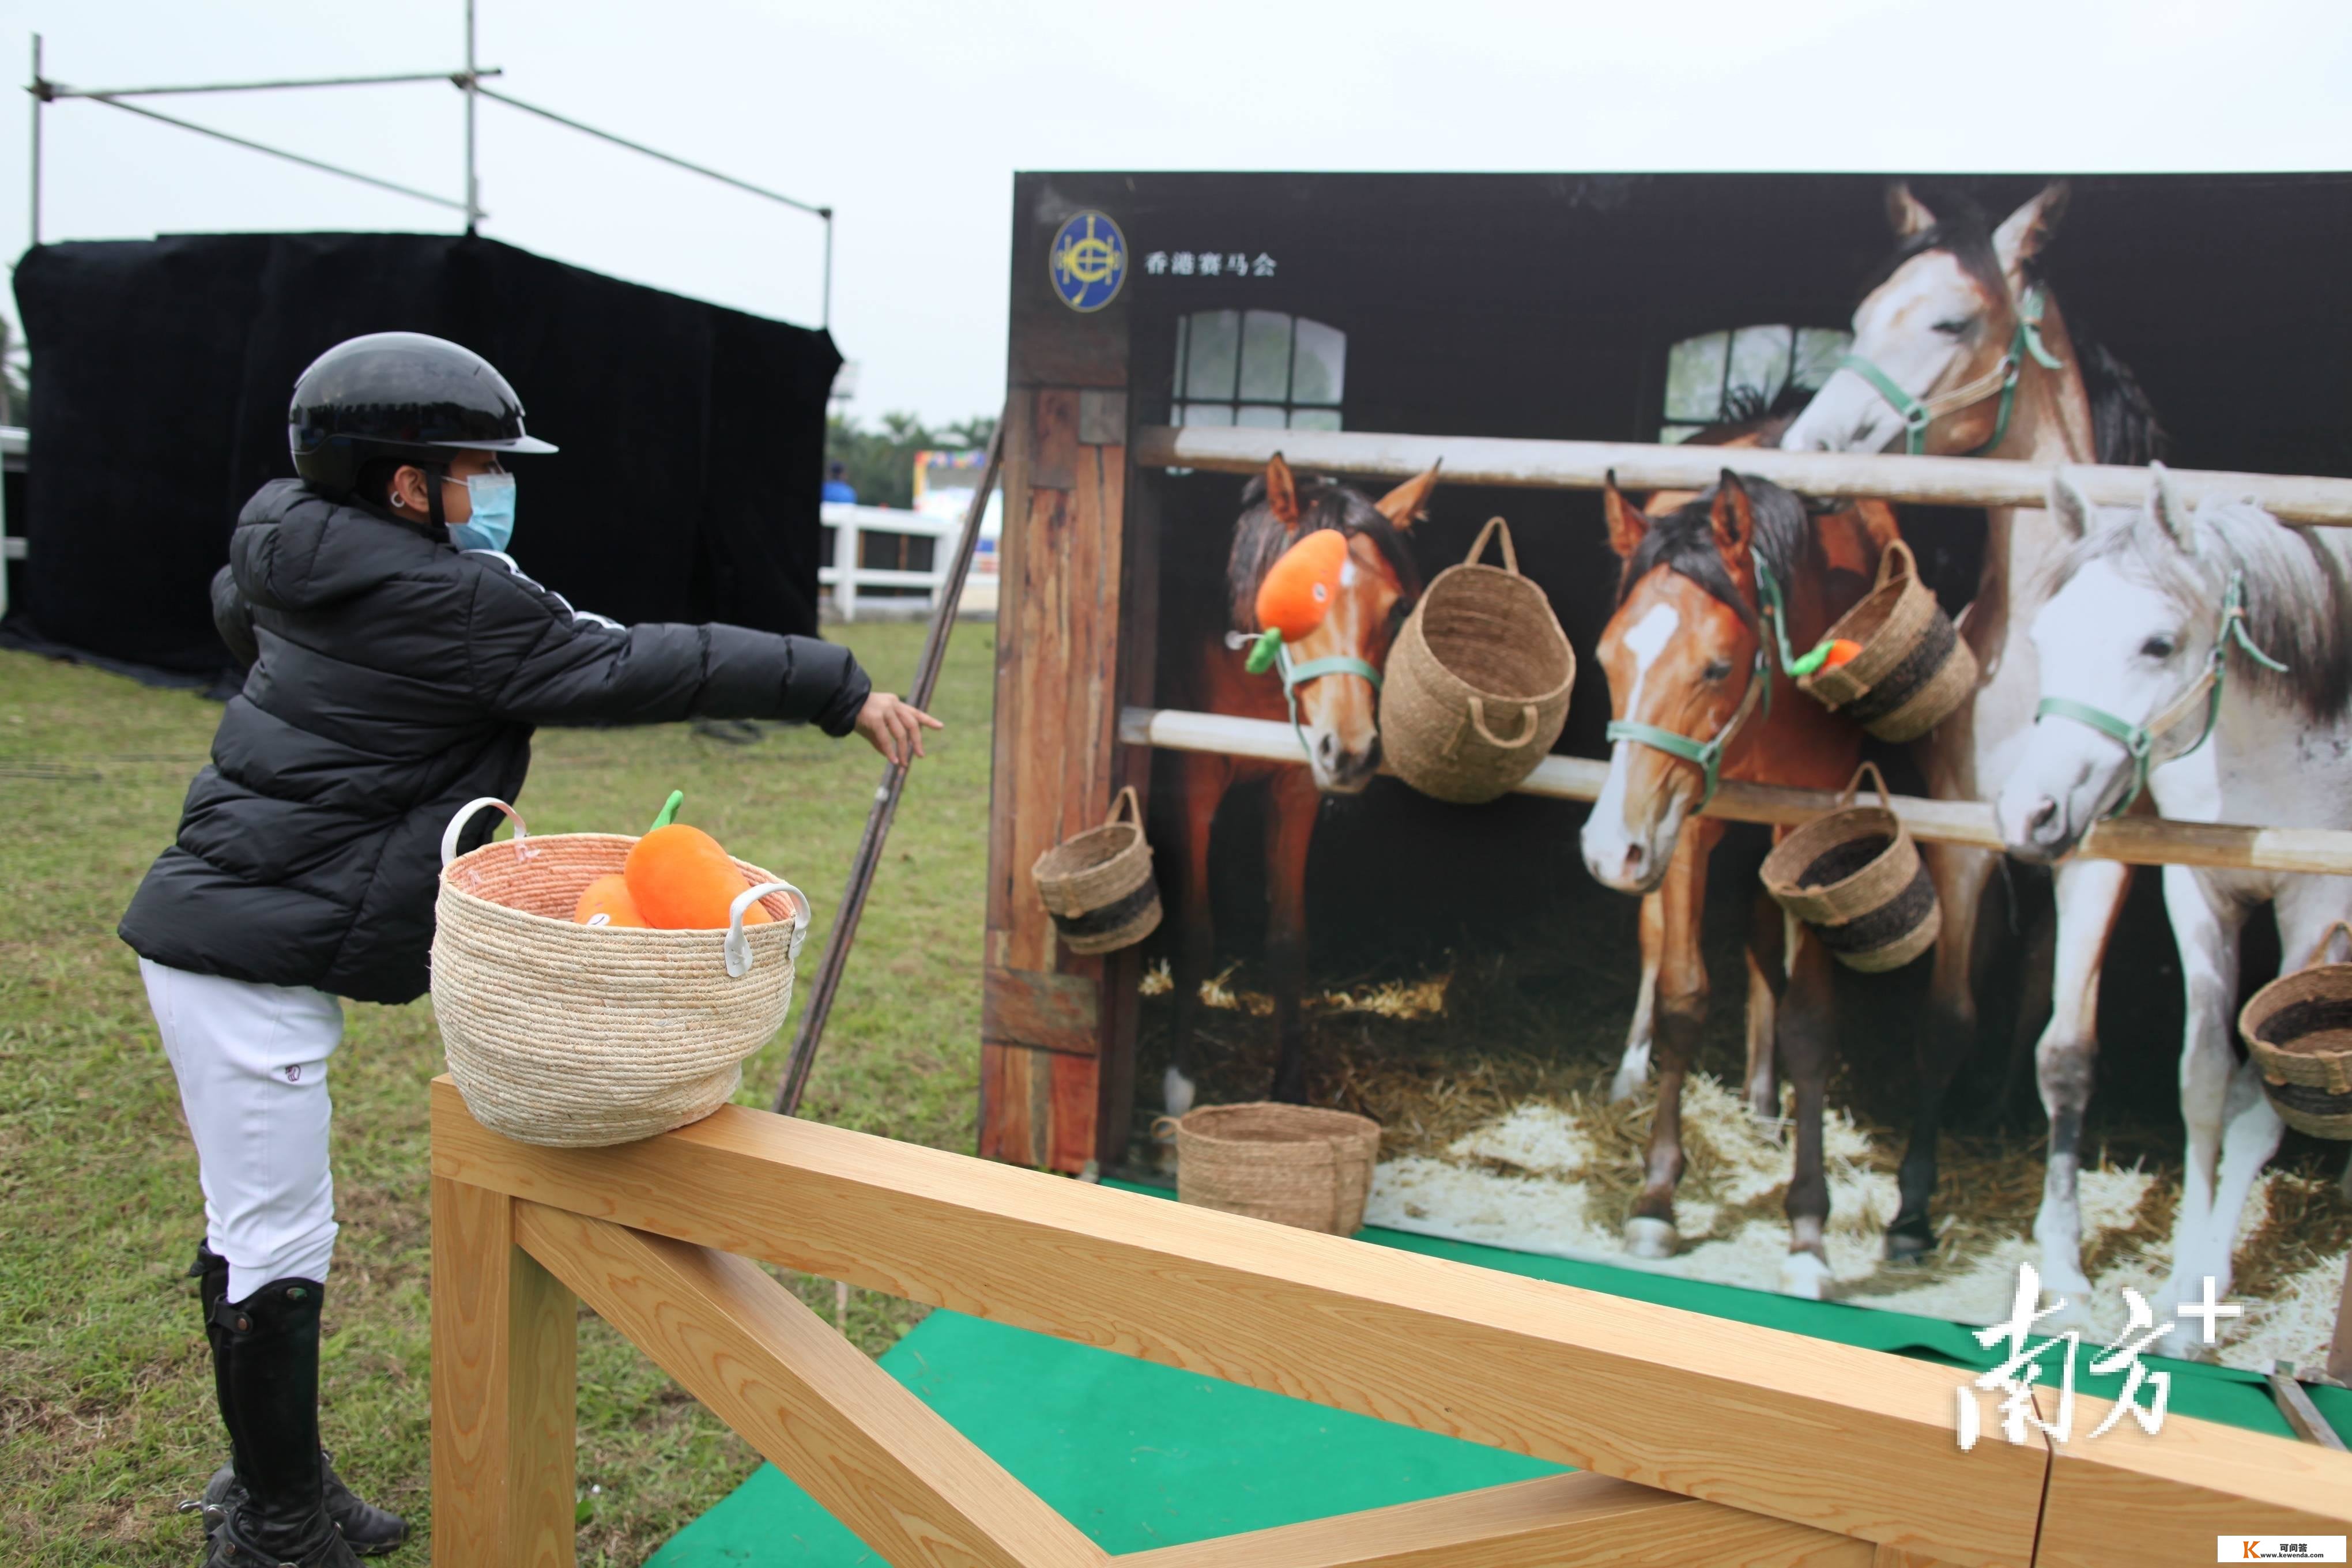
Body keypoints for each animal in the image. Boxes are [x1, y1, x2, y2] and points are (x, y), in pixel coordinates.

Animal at [1157, 454, 1430, 1114]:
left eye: (1398, 607)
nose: (1352, 751)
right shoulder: (1192, 780)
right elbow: (1194, 933)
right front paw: (1179, 1083)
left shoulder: (1297, 787)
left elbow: (1287, 939)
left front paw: (1289, 1087)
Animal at [1580, 470, 1891, 1298]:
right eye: (1605, 660)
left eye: (1717, 666)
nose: (1608, 849)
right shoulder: (1683, 824)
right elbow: (1684, 997)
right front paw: (1656, 1199)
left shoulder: (1811, 828)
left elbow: (1809, 1024)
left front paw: (1809, 1231)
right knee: (1659, 942)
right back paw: (1635, 1071)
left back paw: (1761, 1099)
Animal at [1994, 463, 2352, 1354]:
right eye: (2045, 636)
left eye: (2157, 643)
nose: (2030, 810)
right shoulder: (2200, 886)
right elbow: (2204, 1081)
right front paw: (2184, 1278)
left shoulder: (2319, 902)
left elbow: (2260, 1102)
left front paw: (2198, 1305)